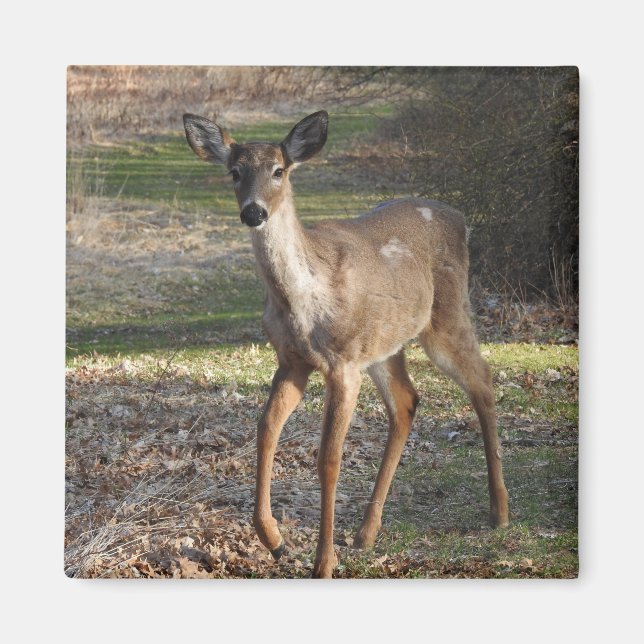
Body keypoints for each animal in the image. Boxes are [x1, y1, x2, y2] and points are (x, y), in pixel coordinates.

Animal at [183, 110, 509, 578]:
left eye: (279, 171)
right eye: (234, 172)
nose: (254, 211)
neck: (303, 299)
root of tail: (461, 217)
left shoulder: (341, 365)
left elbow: (329, 458)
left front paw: (323, 562)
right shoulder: (292, 361)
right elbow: (265, 431)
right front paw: (275, 540)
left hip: (444, 318)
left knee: (482, 380)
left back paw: (499, 512)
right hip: (383, 344)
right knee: (407, 400)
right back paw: (366, 533)